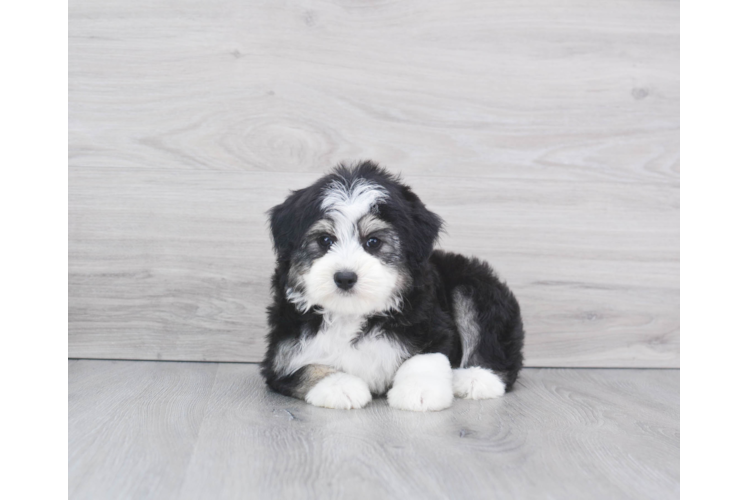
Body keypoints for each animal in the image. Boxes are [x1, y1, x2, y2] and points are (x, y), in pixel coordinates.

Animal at [260, 162, 524, 412]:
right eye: (325, 240)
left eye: (373, 242)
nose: (345, 277)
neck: (352, 314)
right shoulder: (282, 354)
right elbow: (306, 369)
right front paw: (340, 386)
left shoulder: (431, 325)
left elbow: (425, 357)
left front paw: (420, 391)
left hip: (474, 286)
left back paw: (474, 378)